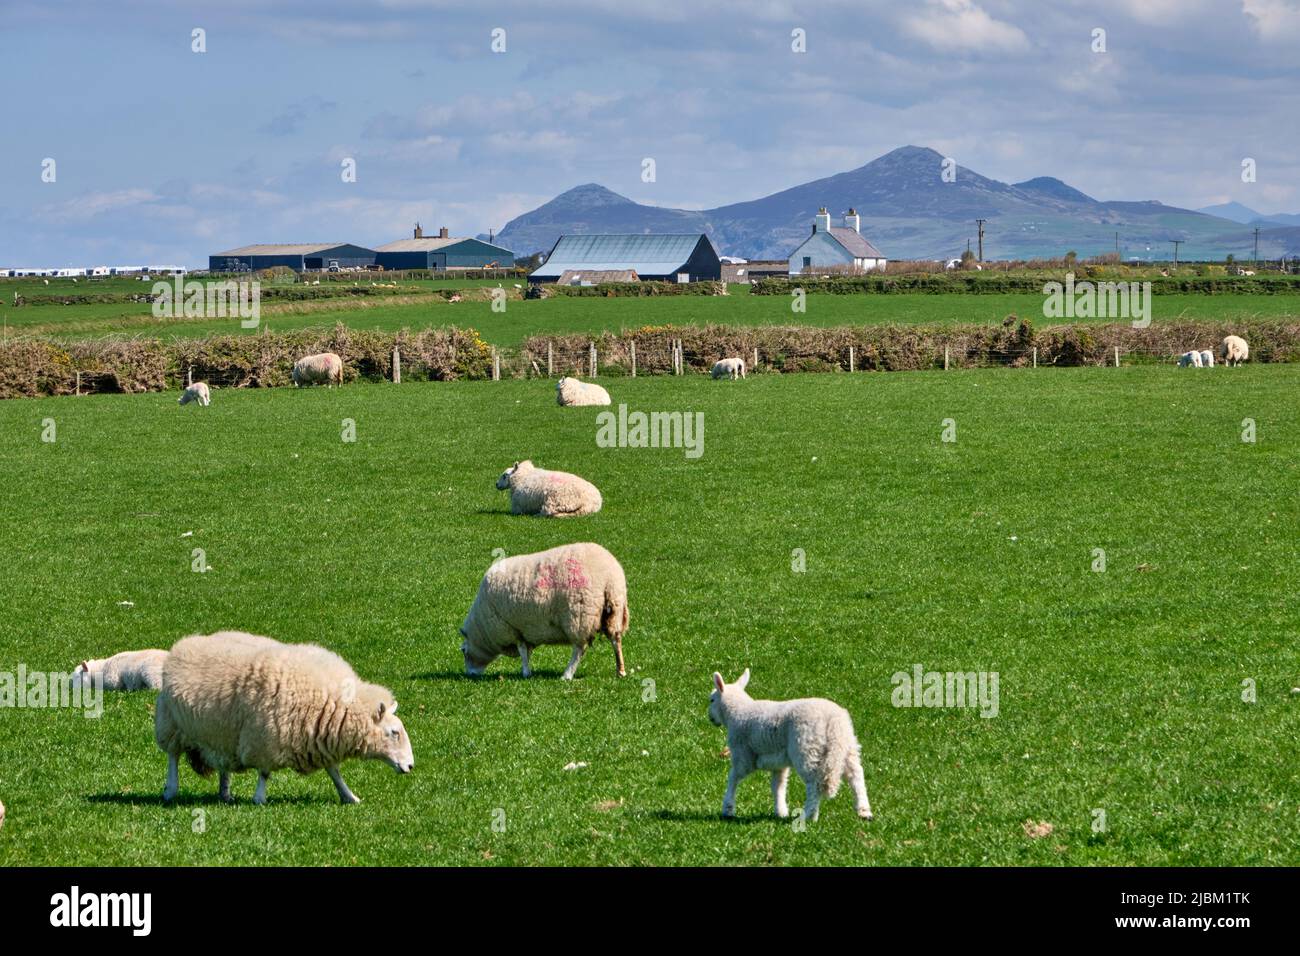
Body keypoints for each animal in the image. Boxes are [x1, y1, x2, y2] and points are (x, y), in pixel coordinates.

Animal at [154, 634, 413, 806]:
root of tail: (182, 645)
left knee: (223, 764)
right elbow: (264, 773)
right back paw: (171, 791)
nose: (411, 766)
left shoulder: (321, 738)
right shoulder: (265, 738)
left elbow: (335, 772)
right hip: (172, 725)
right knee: (173, 757)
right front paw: (259, 799)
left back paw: (225, 793)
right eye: (394, 732)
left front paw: (349, 796)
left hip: (221, 734)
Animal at [462, 546, 629, 681]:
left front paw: (525, 673)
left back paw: (567, 675)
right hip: (614, 611)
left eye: (463, 651)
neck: (483, 627)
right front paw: (527, 671)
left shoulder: (513, 628)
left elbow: (522, 651)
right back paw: (620, 671)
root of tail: (609, 578)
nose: (470, 675)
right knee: (616, 640)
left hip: (579, 616)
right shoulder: (524, 630)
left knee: (579, 649)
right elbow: (527, 651)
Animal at [712, 671, 873, 822]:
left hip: (807, 747)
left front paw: (728, 808)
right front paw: (781, 811)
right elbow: (778, 786)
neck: (738, 712)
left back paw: (809, 815)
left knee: (814, 783)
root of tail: (834, 720)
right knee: (856, 774)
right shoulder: (778, 763)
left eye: (711, 700)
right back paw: (864, 811)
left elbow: (734, 777)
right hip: (847, 746)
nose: (711, 718)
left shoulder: (743, 753)